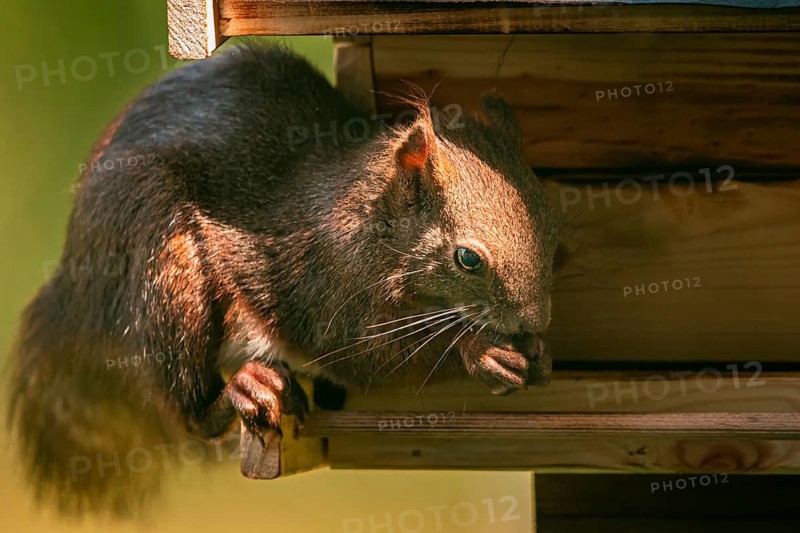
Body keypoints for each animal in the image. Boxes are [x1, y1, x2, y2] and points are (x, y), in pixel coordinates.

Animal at [7, 42, 558, 516]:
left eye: (550, 221)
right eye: (468, 259)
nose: (536, 319)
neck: (365, 218)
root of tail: (76, 292)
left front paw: (536, 351)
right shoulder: (325, 285)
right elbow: (371, 357)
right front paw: (479, 351)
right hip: (167, 274)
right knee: (187, 409)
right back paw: (246, 388)